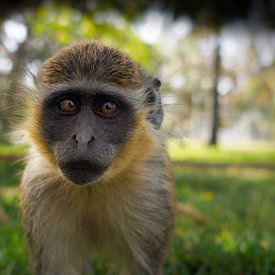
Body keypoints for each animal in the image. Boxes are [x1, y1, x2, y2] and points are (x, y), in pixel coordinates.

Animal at [16, 40, 175, 274]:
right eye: (68, 104)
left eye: (108, 107)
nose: (82, 139)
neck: (92, 188)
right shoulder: (38, 185)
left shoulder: (152, 189)